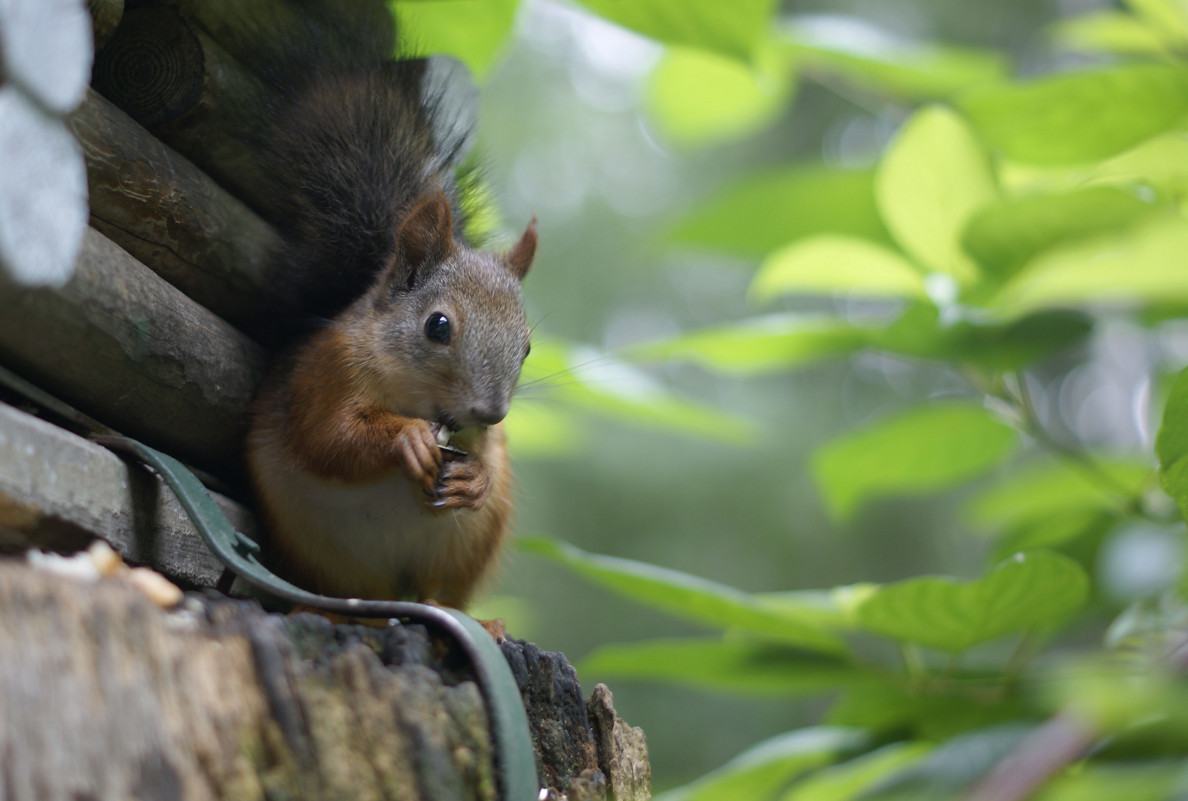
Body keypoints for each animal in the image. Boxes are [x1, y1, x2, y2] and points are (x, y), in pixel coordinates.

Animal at [244, 40, 539, 608]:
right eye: (438, 326)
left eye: (528, 346)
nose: (491, 413)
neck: (415, 396)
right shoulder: (326, 373)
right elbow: (329, 439)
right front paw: (408, 439)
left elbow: (486, 464)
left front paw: (476, 478)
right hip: (326, 554)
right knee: (365, 597)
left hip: (466, 547)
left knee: (437, 595)